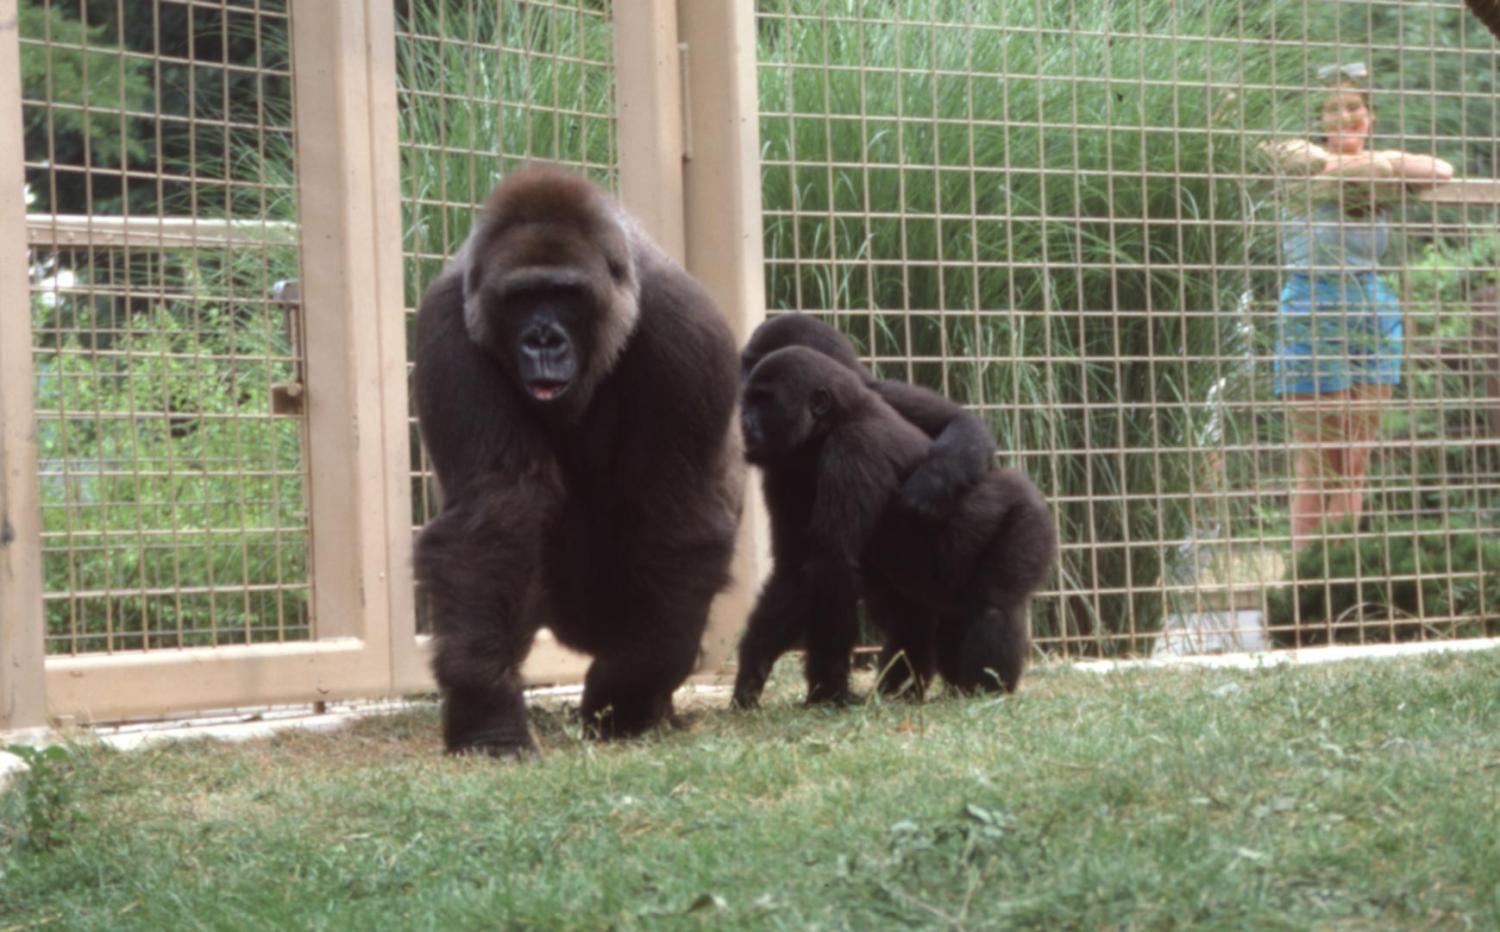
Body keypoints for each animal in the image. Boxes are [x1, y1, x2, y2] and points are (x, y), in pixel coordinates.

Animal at [414, 165, 741, 756]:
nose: (543, 340)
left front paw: (625, 692)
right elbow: (495, 511)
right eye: (522, 297)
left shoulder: (686, 326)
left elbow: (679, 517)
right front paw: (485, 707)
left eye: (566, 294)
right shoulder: (449, 321)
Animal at [741, 345, 1056, 702]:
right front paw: (751, 672)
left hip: (1028, 516)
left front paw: (828, 691)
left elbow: (831, 565)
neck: (833, 423)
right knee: (926, 619)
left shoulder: (854, 447)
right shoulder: (783, 469)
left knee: (995, 603)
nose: (743, 422)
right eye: (748, 400)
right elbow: (794, 571)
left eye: (764, 401)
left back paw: (984, 689)